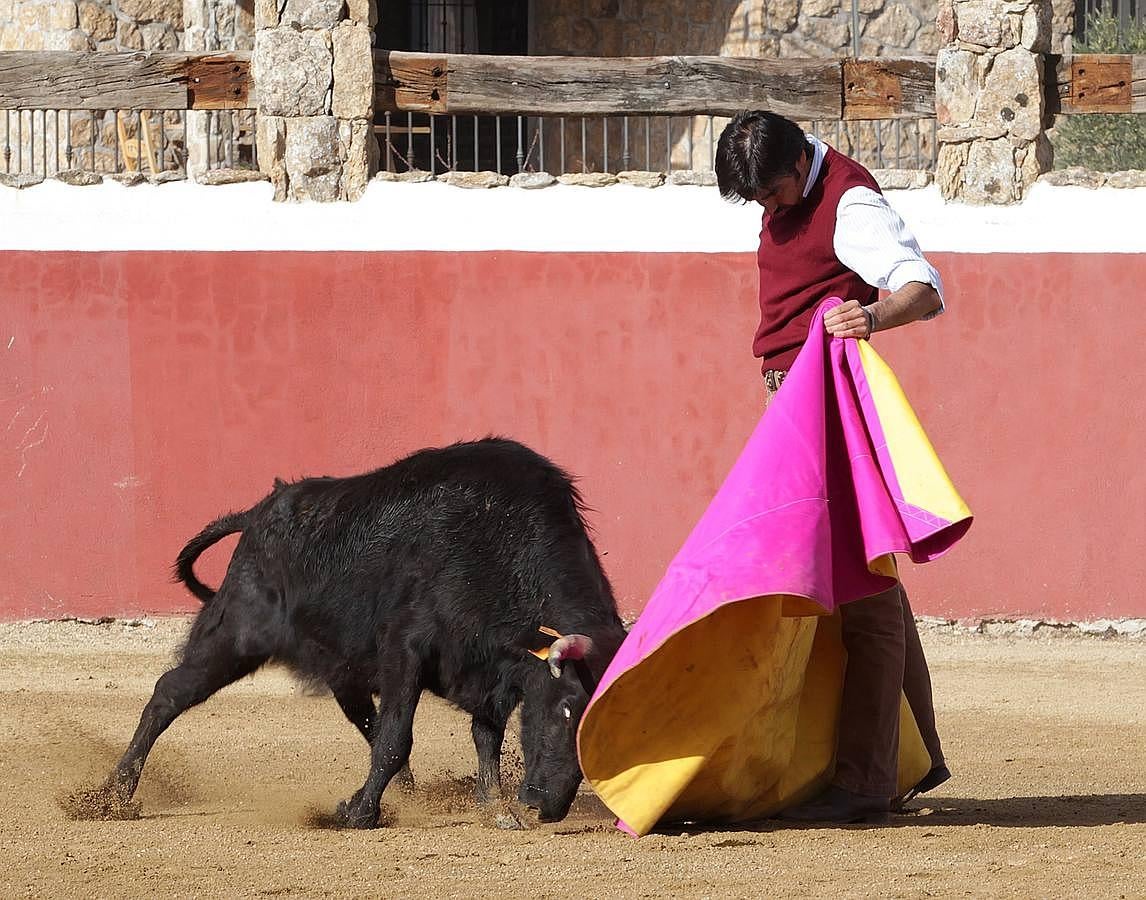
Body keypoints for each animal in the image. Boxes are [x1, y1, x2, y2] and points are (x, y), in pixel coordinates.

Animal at [90, 437, 628, 825]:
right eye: (567, 707)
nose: (545, 806)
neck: (499, 540)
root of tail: (260, 511)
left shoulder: (489, 667)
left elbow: (482, 735)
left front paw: (494, 806)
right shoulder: (406, 649)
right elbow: (396, 737)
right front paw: (358, 813)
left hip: (339, 666)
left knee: (361, 717)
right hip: (235, 634)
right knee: (170, 692)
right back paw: (112, 795)